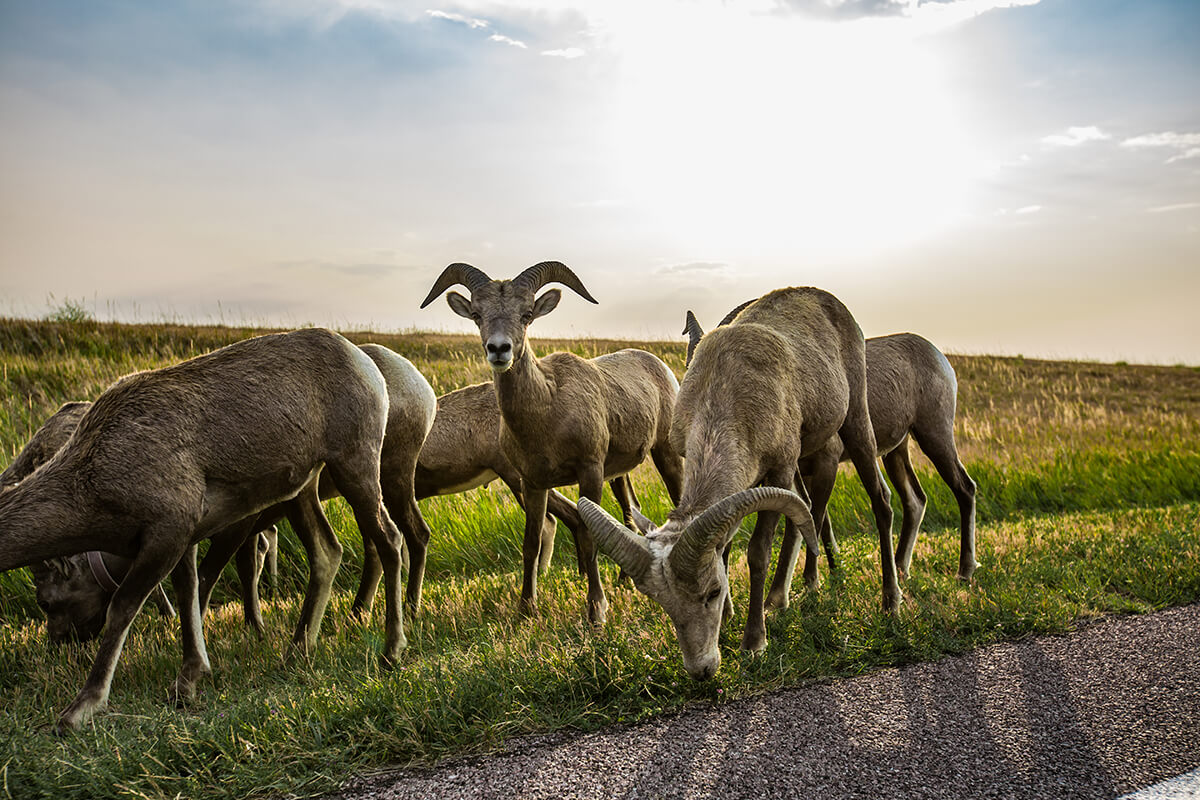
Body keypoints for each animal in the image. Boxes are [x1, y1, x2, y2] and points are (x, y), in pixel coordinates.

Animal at [0, 326, 422, 734]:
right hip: (305, 486)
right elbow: (190, 592)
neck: (91, 480)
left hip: (356, 464)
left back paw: (391, 651)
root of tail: (366, 364)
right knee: (327, 551)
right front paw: (187, 681)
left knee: (390, 539)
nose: (57, 643)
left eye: (45, 601)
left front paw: (80, 709)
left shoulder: (168, 529)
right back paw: (296, 651)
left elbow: (125, 606)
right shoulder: (184, 536)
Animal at [422, 262, 686, 623]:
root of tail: (658, 365)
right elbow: (532, 541)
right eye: (477, 314)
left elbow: (589, 535)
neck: (548, 410)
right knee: (630, 513)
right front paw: (525, 610)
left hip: (665, 453)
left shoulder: (589, 472)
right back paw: (625, 580)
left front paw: (596, 612)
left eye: (527, 314)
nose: (499, 349)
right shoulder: (532, 482)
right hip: (618, 473)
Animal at [578, 284, 902, 681]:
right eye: (662, 603)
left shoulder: (778, 470)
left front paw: (754, 643)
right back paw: (785, 596)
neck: (727, 390)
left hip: (855, 419)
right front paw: (735, 618)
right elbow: (730, 546)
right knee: (809, 509)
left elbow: (758, 551)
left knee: (879, 499)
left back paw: (890, 602)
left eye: (712, 592)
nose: (701, 670)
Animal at [686, 304, 974, 587]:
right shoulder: (800, 471)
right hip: (896, 452)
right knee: (915, 499)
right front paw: (835, 571)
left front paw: (811, 582)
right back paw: (902, 569)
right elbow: (818, 521)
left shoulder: (827, 462)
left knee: (964, 487)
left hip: (934, 434)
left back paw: (964, 571)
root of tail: (940, 358)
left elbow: (816, 515)